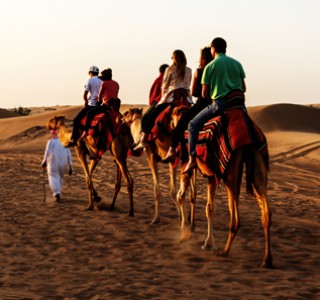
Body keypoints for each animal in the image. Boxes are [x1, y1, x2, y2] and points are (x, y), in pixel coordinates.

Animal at [172, 106, 272, 268]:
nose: (172, 124)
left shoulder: (187, 165)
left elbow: (181, 196)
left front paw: (185, 234)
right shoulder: (212, 176)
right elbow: (209, 207)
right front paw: (208, 242)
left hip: (230, 173)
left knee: (236, 219)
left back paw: (224, 252)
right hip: (257, 162)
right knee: (266, 213)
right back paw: (267, 260)